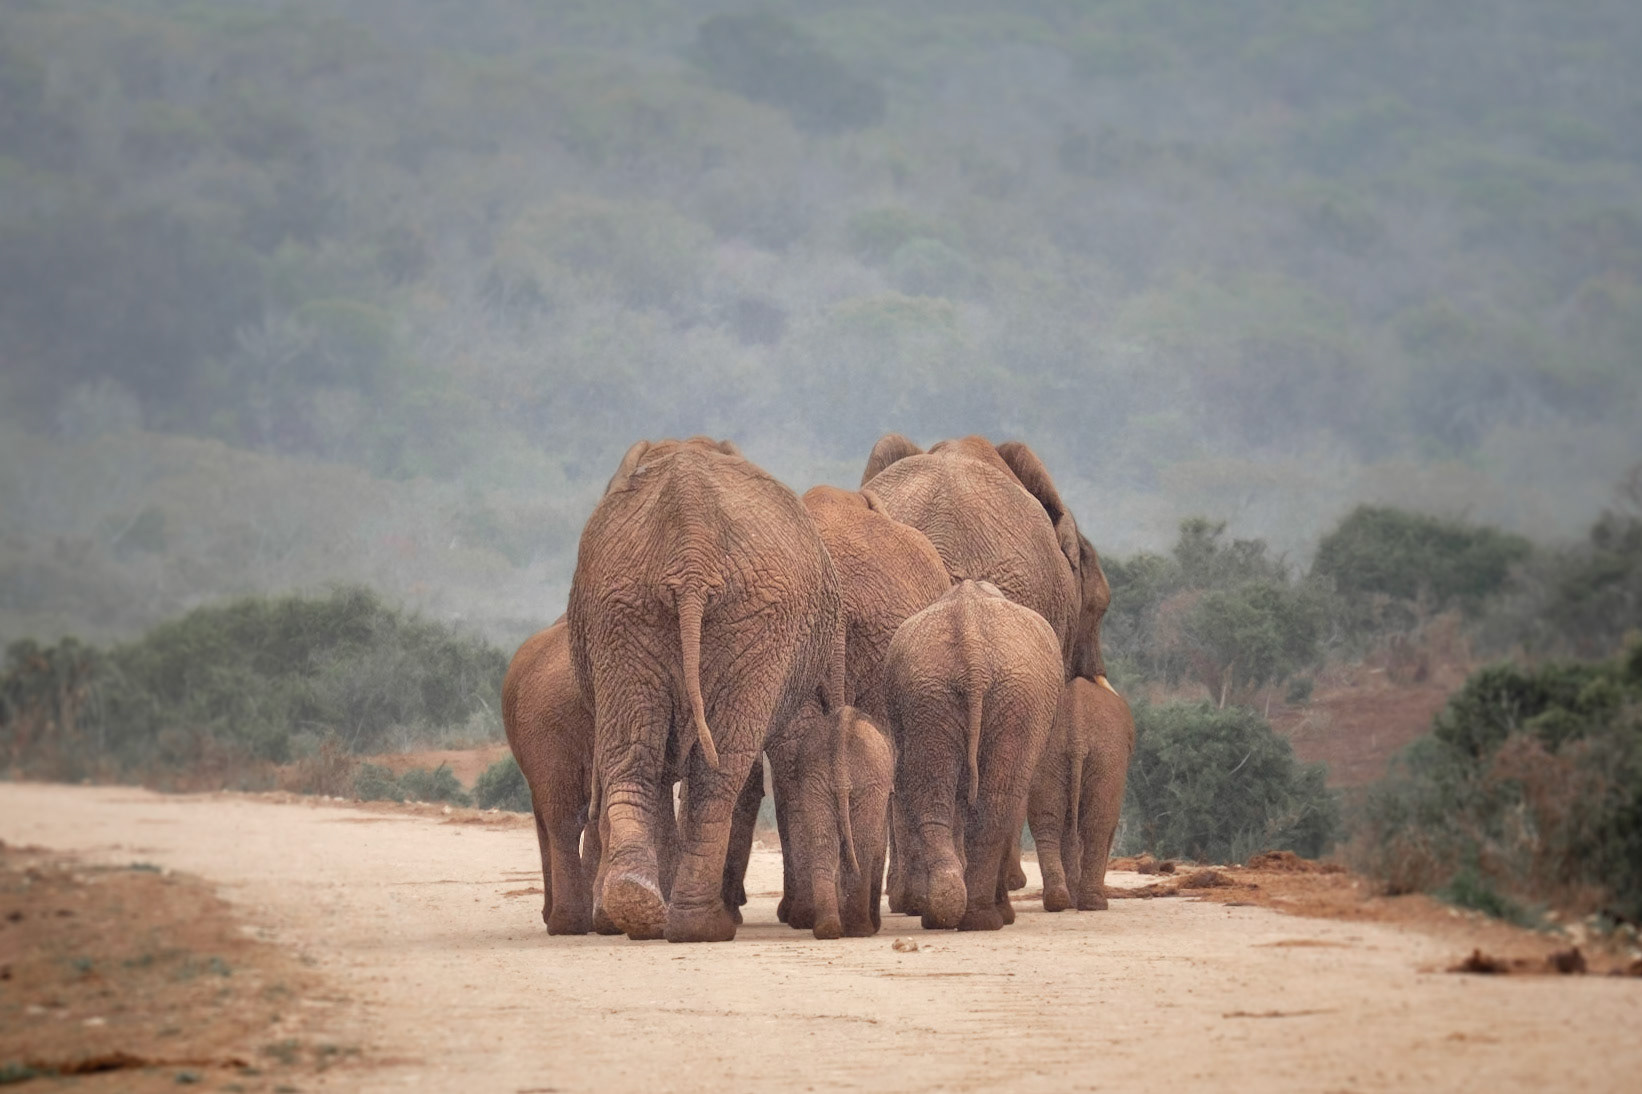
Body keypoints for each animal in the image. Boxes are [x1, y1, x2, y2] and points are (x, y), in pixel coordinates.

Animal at [568, 437, 845, 943]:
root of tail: (690, 554)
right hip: (715, 615)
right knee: (713, 770)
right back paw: (695, 923)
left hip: (634, 611)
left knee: (639, 754)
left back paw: (647, 910)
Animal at [766, 705, 892, 939]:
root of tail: (842, 726)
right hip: (867, 781)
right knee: (862, 846)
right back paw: (860, 930)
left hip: (815, 779)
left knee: (822, 843)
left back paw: (828, 929)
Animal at [883, 580, 1063, 931]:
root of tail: (973, 652)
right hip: (982, 694)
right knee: (990, 799)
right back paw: (977, 918)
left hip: (941, 693)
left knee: (942, 793)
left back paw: (952, 913)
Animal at [1027, 675, 1135, 912]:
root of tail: (1077, 734)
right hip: (1106, 759)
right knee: (1098, 824)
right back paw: (1095, 903)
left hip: (1051, 756)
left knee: (1048, 822)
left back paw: (1058, 900)